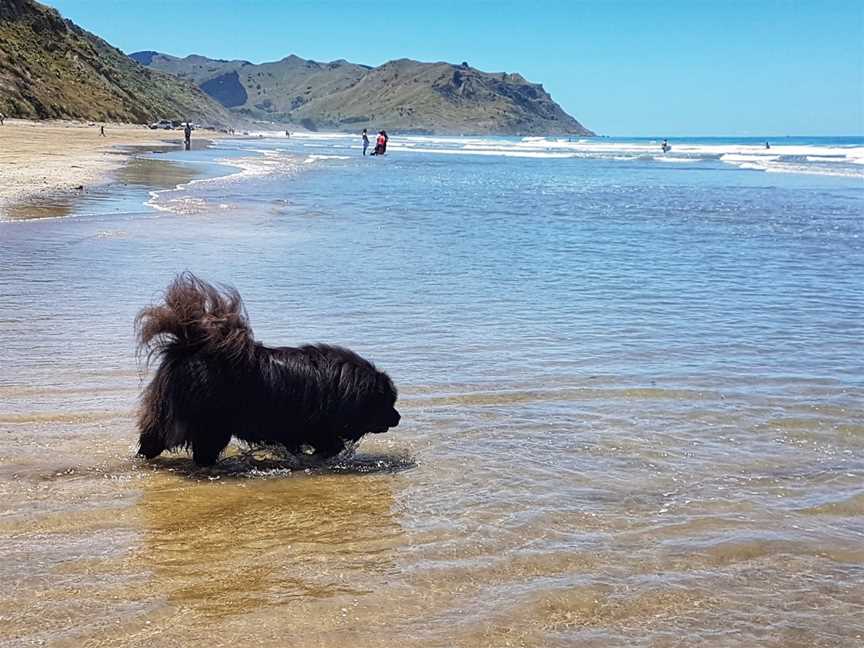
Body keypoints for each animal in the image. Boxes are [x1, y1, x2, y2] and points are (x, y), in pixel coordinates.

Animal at [135, 274, 402, 466]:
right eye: (386, 402)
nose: (398, 417)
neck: (339, 386)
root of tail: (190, 347)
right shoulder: (315, 426)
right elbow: (330, 445)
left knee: (151, 440)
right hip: (210, 423)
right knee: (201, 450)